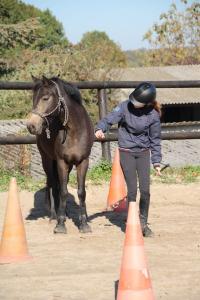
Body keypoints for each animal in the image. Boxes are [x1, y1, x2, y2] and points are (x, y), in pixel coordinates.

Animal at [26, 75, 94, 234]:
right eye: (33, 99)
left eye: (45, 98)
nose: (31, 126)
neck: (74, 131)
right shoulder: (61, 162)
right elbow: (62, 191)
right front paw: (60, 225)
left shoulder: (83, 162)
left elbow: (81, 192)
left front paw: (84, 224)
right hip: (47, 160)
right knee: (52, 184)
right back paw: (54, 216)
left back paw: (65, 213)